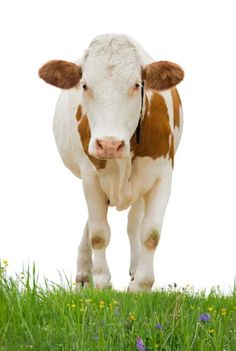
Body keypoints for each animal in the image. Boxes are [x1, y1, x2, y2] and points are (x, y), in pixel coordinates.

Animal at [38, 34, 184, 292]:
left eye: (137, 84)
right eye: (85, 85)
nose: (109, 144)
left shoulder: (162, 176)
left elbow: (150, 233)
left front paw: (141, 285)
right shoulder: (90, 177)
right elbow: (98, 233)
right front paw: (101, 281)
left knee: (134, 221)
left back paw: (135, 268)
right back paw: (84, 274)